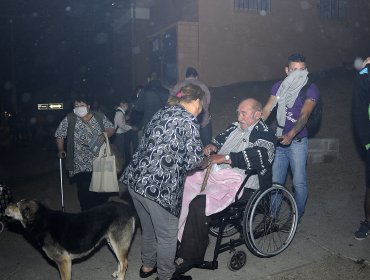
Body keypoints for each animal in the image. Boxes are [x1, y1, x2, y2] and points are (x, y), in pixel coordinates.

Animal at [5, 199, 136, 280]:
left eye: (17, 205)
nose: (5, 207)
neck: (41, 220)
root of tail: (128, 208)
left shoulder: (64, 262)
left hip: (117, 243)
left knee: (125, 263)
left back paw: (120, 276)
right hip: (112, 242)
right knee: (121, 261)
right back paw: (118, 272)